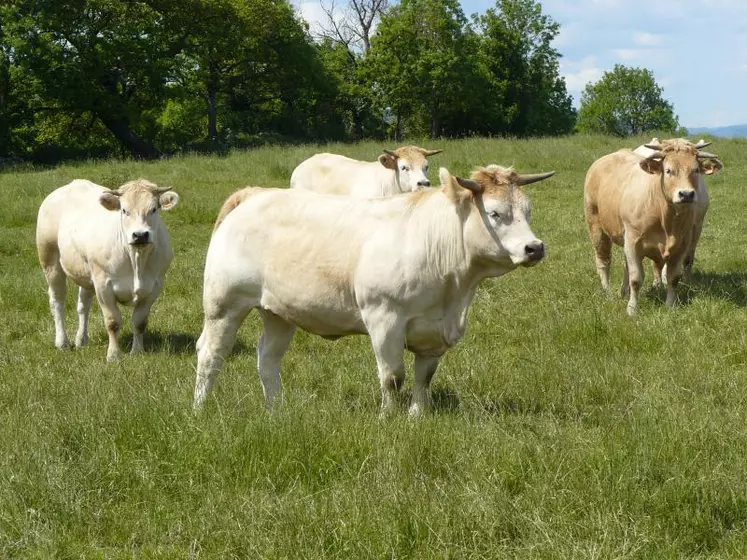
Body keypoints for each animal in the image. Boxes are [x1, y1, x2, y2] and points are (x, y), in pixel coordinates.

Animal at [36, 179, 180, 364]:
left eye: (153, 209)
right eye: (124, 210)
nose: (140, 235)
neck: (137, 260)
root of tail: (73, 183)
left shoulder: (155, 286)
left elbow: (139, 322)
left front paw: (137, 351)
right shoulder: (104, 286)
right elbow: (112, 322)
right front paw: (113, 355)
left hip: (86, 273)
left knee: (83, 304)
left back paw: (81, 339)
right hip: (50, 261)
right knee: (57, 301)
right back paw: (62, 343)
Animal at [193, 164, 556, 414]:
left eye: (527, 211)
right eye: (494, 213)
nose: (534, 247)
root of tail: (253, 194)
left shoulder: (435, 331)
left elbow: (424, 376)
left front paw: (417, 416)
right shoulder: (384, 317)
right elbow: (393, 376)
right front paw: (387, 418)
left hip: (278, 311)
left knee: (267, 359)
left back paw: (277, 411)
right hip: (224, 304)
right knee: (211, 354)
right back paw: (200, 409)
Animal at [632, 136, 724, 284]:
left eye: (696, 170)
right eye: (668, 170)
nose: (686, 194)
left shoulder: (696, 227)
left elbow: (687, 258)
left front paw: (687, 282)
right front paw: (658, 283)